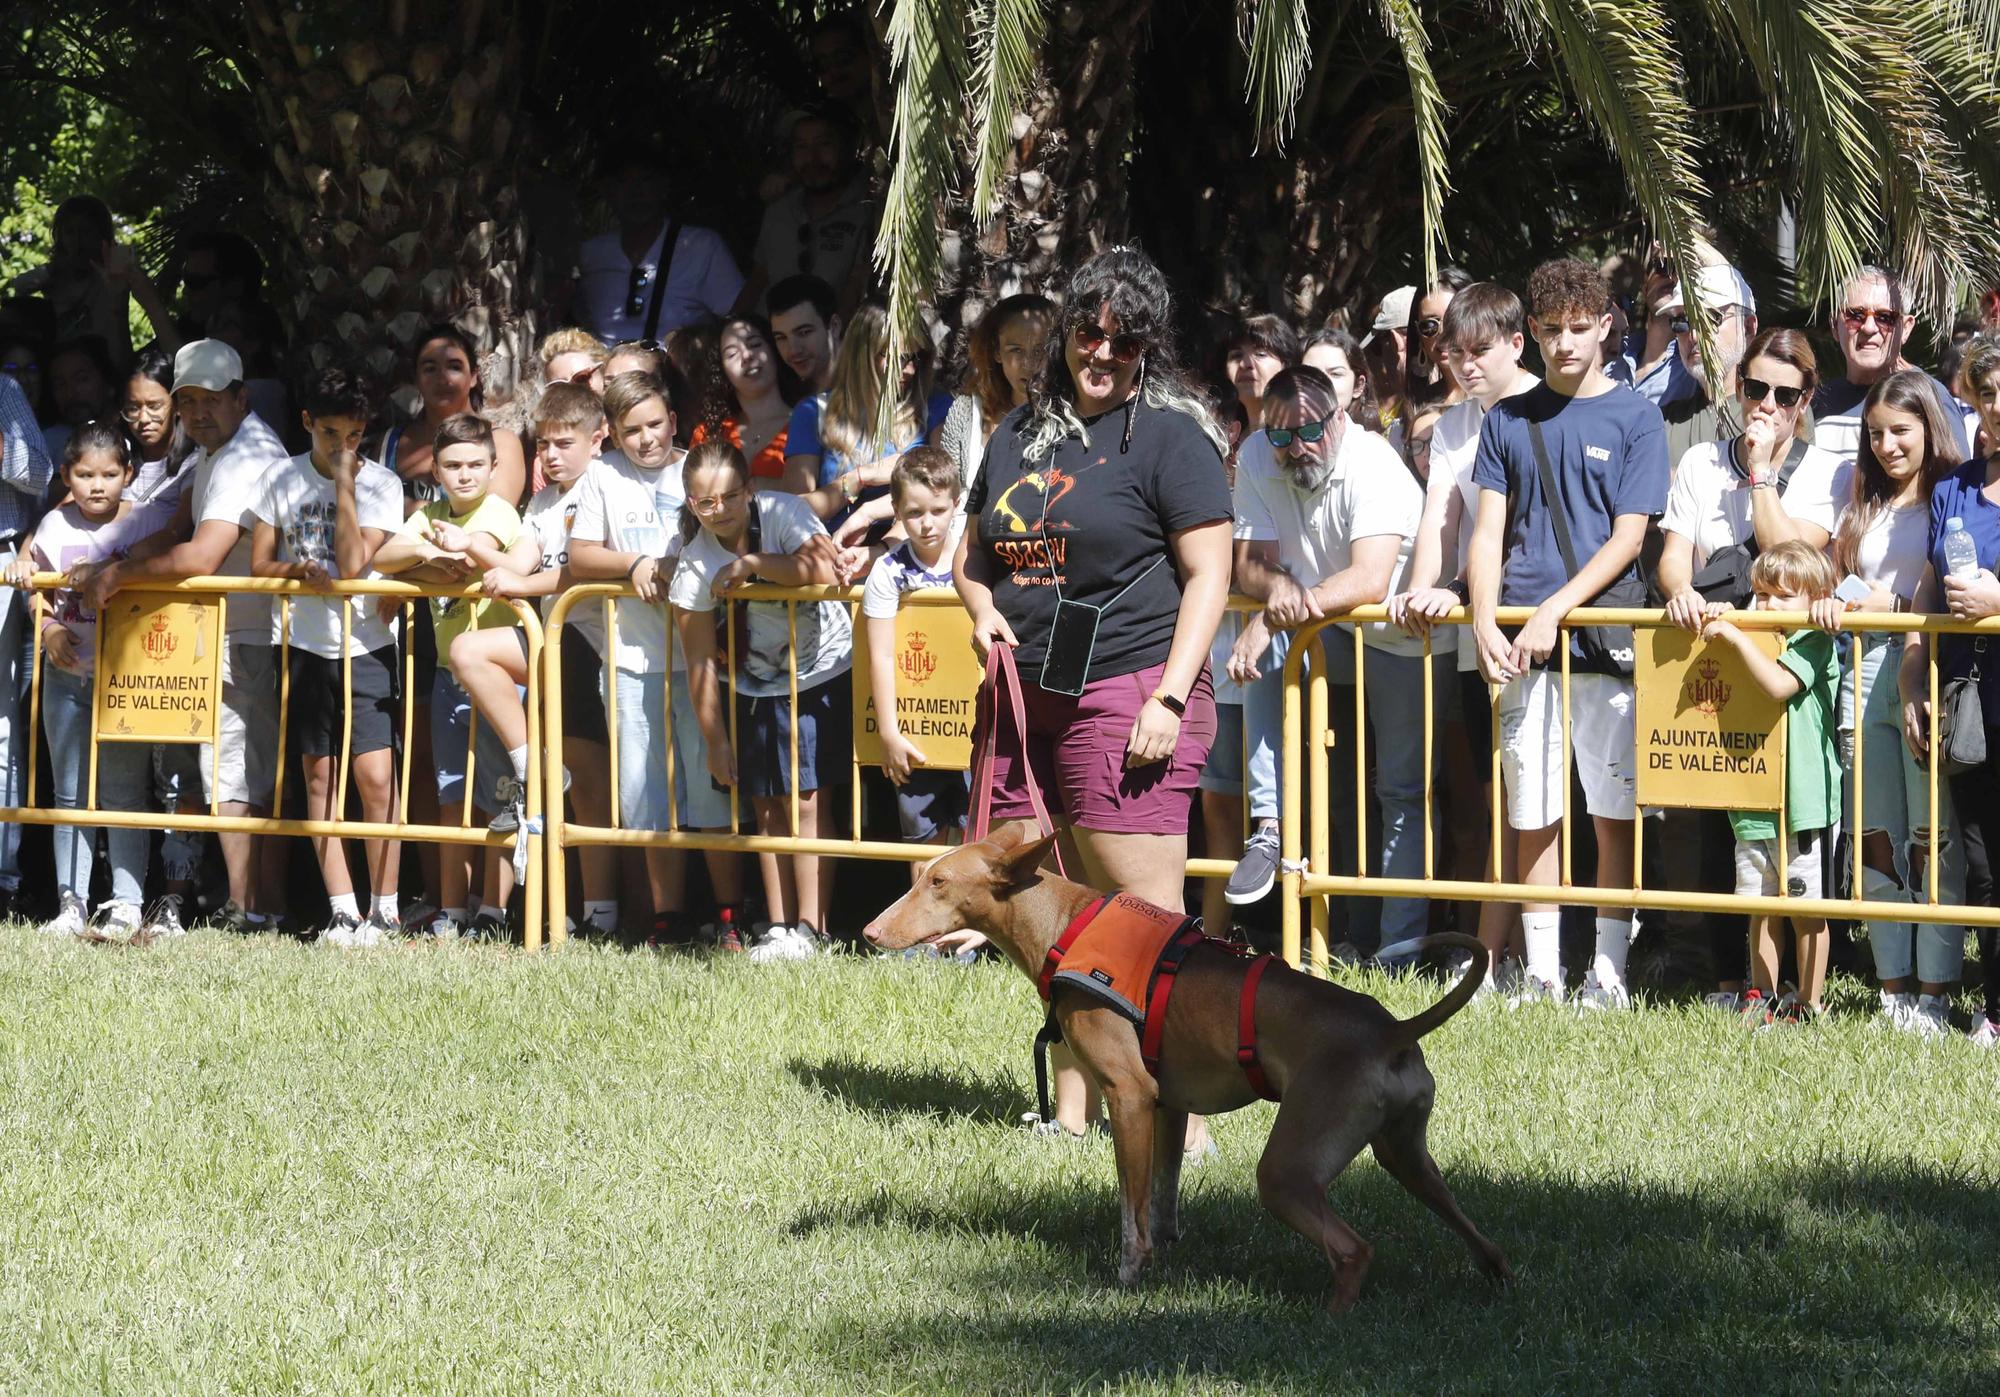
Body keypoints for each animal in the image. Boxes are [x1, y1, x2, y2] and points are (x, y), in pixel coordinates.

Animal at [864, 816, 1512, 1304]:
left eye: (939, 882)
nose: (870, 932)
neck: (1066, 925)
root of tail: (1391, 1030)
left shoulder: (1130, 1098)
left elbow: (1131, 1213)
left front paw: (1130, 1276)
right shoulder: (1171, 1107)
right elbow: (1163, 1202)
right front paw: (1168, 1259)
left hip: (1288, 1172)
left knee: (1353, 1251)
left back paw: (1331, 1323)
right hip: (1407, 1157)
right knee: (1486, 1242)